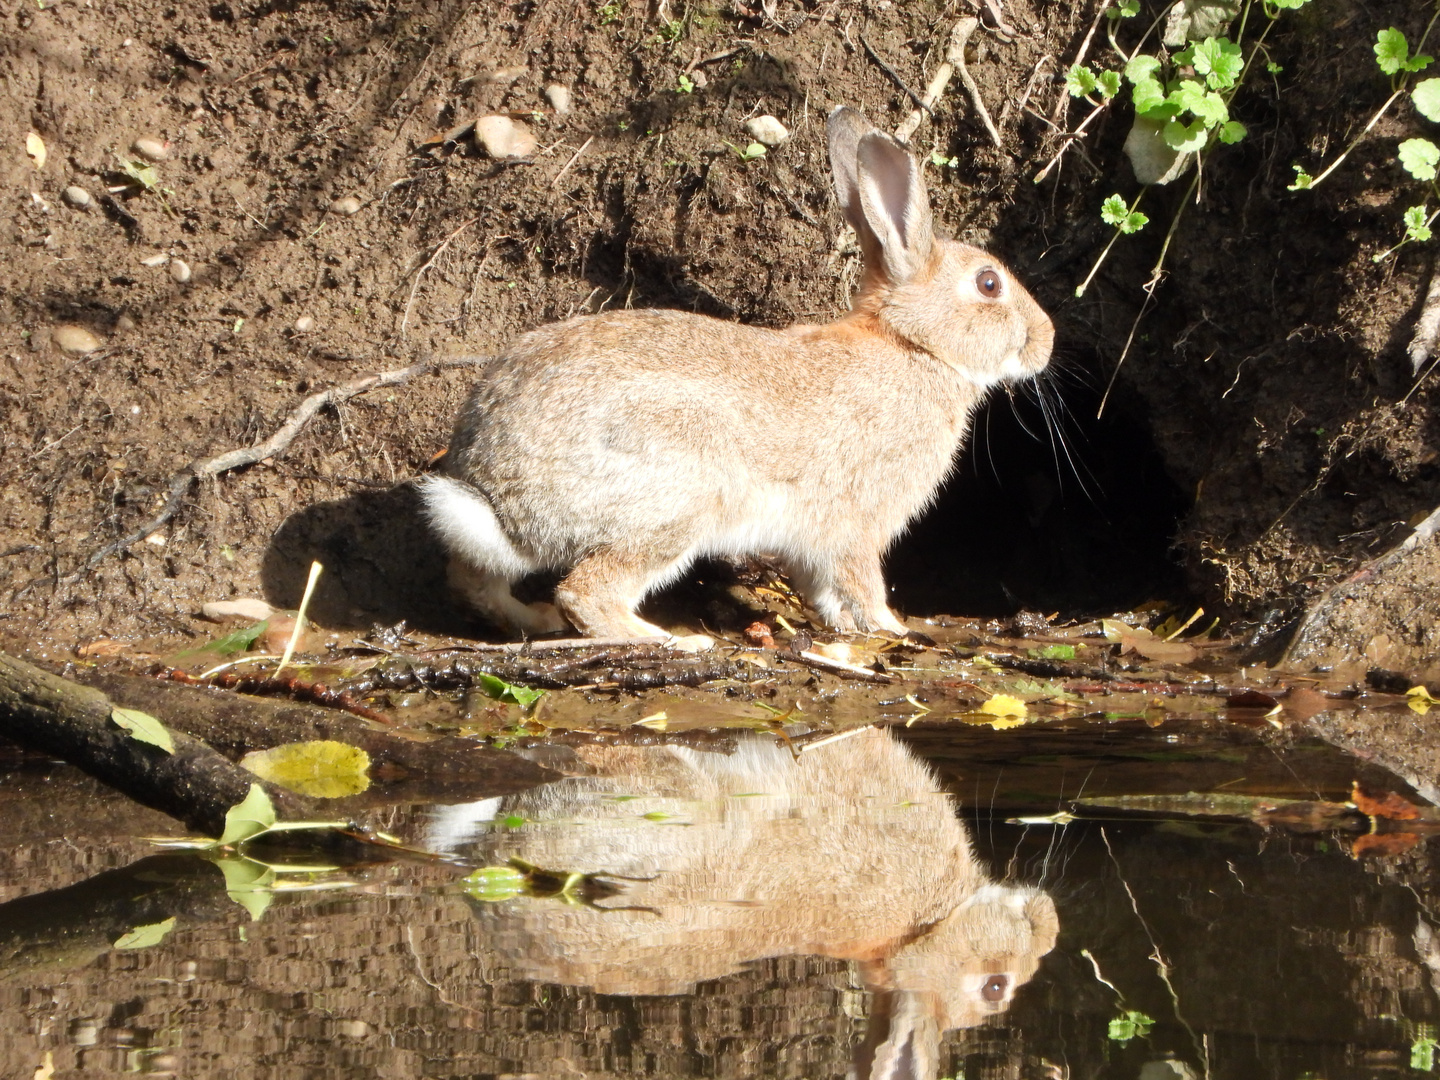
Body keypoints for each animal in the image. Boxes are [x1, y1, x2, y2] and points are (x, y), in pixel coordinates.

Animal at [420, 105, 1054, 648]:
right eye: (989, 284)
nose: (1046, 341)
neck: (913, 344)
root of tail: (501, 494)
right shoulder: (857, 522)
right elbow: (860, 580)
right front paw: (891, 627)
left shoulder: (813, 539)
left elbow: (822, 588)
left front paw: (847, 627)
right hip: (678, 493)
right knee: (587, 591)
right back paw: (673, 641)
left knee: (474, 580)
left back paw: (534, 619)